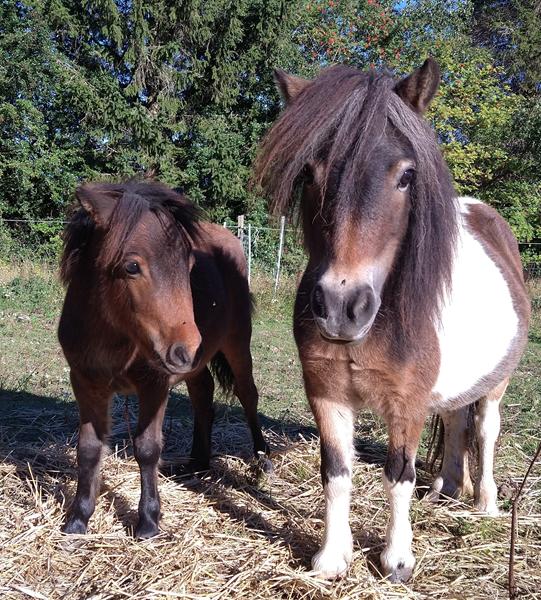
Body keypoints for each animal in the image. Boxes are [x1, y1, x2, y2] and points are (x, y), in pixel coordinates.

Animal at [58, 180, 268, 536]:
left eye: (189, 265)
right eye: (132, 266)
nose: (187, 348)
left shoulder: (154, 385)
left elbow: (147, 449)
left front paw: (148, 521)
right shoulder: (86, 382)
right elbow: (88, 449)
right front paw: (78, 519)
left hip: (237, 343)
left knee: (247, 394)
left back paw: (262, 459)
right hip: (198, 363)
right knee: (203, 395)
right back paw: (197, 462)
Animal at [253, 61, 528, 580]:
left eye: (406, 176)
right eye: (309, 173)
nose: (341, 306)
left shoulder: (407, 404)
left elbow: (398, 476)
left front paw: (397, 560)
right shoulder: (327, 395)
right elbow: (336, 473)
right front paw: (330, 558)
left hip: (495, 385)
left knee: (484, 430)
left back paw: (485, 504)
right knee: (456, 421)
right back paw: (446, 490)